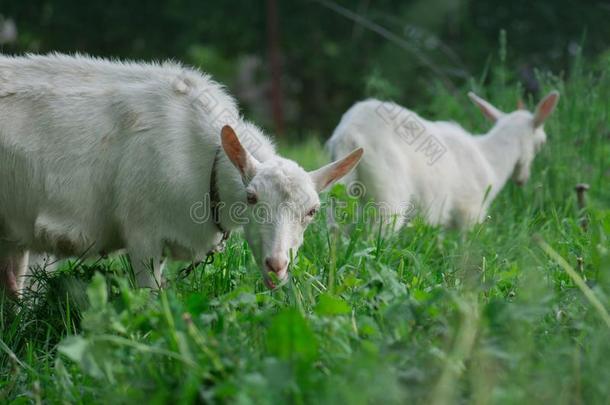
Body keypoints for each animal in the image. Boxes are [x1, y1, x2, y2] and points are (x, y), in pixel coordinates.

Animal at [326, 90, 560, 230]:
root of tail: (349, 134)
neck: (491, 159)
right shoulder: (471, 210)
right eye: (542, 142)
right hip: (388, 191)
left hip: (340, 188)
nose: (522, 180)